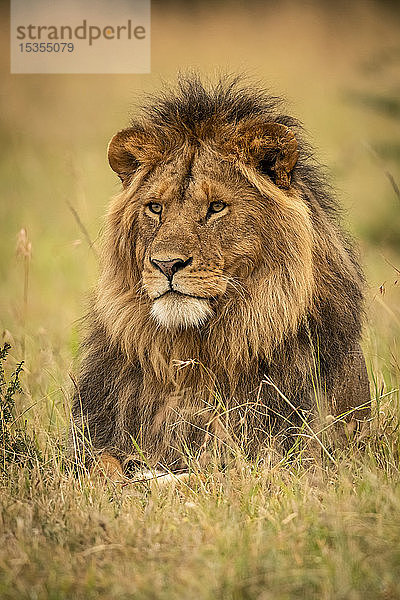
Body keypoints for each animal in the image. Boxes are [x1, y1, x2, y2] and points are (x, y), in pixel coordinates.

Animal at [70, 76, 370, 478]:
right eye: (155, 207)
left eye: (216, 207)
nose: (166, 264)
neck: (197, 354)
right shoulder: (94, 436)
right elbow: (101, 467)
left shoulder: (298, 455)